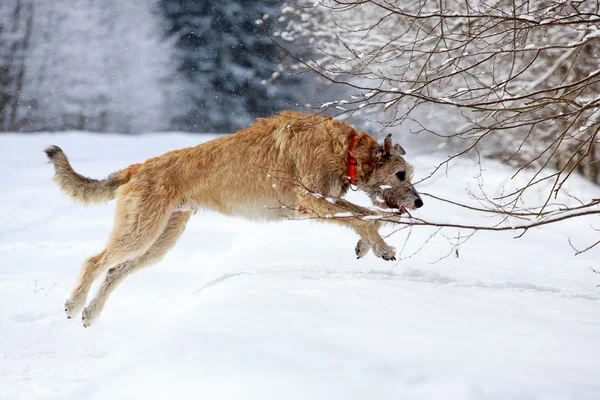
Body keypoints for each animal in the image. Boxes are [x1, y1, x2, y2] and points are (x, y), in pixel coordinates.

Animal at [45, 111, 422, 326]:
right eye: (401, 174)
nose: (419, 202)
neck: (348, 151)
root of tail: (137, 167)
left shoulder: (323, 201)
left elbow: (370, 213)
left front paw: (368, 244)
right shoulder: (310, 202)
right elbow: (363, 216)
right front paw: (380, 247)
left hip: (161, 240)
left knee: (115, 271)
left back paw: (91, 313)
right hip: (140, 231)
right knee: (95, 261)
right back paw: (74, 304)